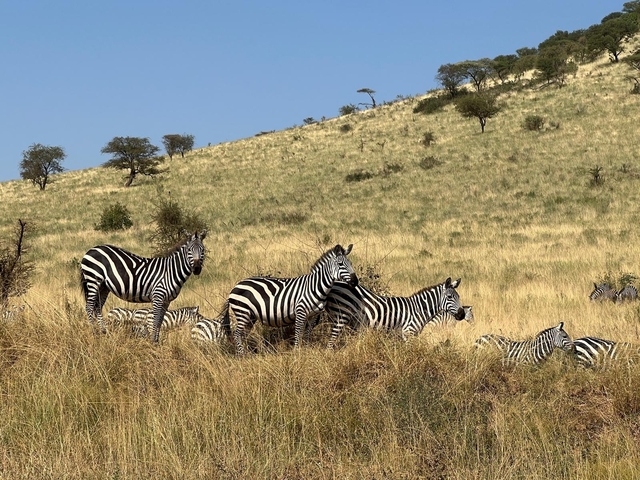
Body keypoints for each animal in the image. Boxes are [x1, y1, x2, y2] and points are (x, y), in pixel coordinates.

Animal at [220, 244, 358, 355]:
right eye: (340, 264)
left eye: (351, 264)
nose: (355, 282)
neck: (315, 287)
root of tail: (235, 287)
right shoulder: (301, 312)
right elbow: (298, 333)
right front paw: (297, 353)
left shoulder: (313, 315)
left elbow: (307, 334)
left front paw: (306, 350)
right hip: (242, 312)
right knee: (237, 334)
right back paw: (242, 355)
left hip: (251, 316)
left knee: (243, 334)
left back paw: (246, 352)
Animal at [310, 277, 466, 349]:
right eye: (450, 297)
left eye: (459, 297)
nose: (462, 315)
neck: (420, 309)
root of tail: (335, 283)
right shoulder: (408, 332)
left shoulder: (409, 334)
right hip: (341, 316)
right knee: (330, 342)